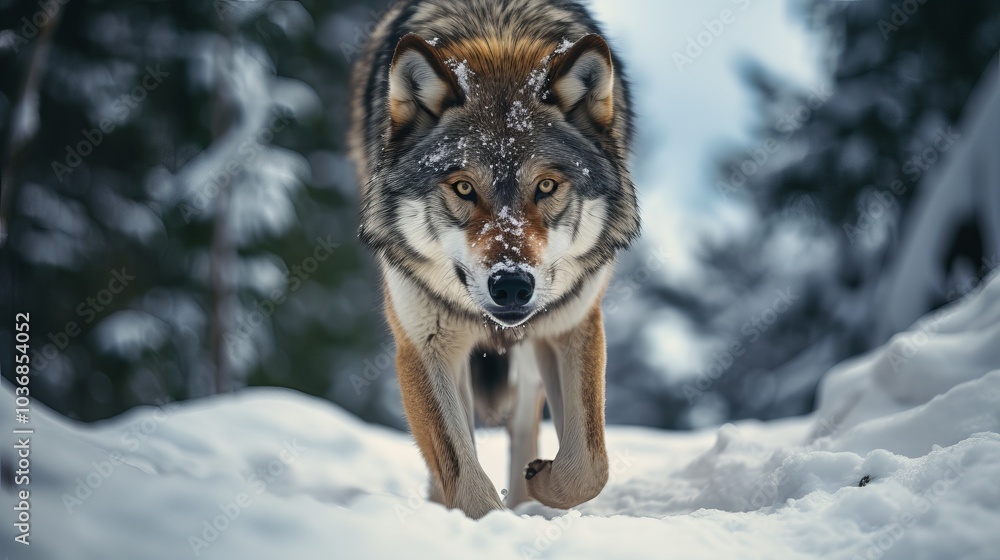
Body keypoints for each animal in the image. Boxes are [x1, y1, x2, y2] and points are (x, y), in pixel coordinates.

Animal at [349, 0, 640, 518]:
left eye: (546, 185)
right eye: (464, 187)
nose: (510, 285)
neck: (495, 29)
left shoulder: (573, 324)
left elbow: (589, 464)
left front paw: (542, 484)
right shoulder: (423, 343)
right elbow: (465, 478)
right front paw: (485, 522)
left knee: (524, 422)